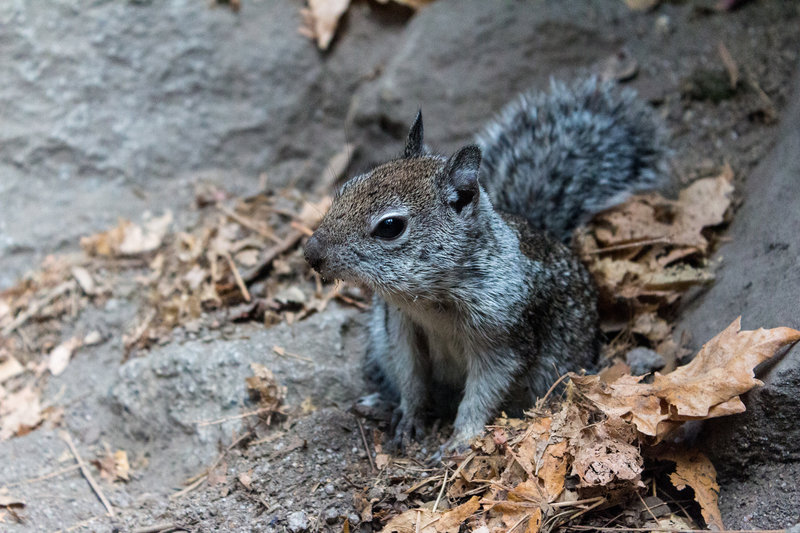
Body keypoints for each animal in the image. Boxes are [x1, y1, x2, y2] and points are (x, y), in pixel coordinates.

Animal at [304, 77, 664, 456]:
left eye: (390, 226)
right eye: (349, 185)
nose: (311, 253)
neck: (430, 297)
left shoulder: (505, 341)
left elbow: (482, 393)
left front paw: (460, 441)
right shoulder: (401, 327)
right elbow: (411, 377)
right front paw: (409, 415)